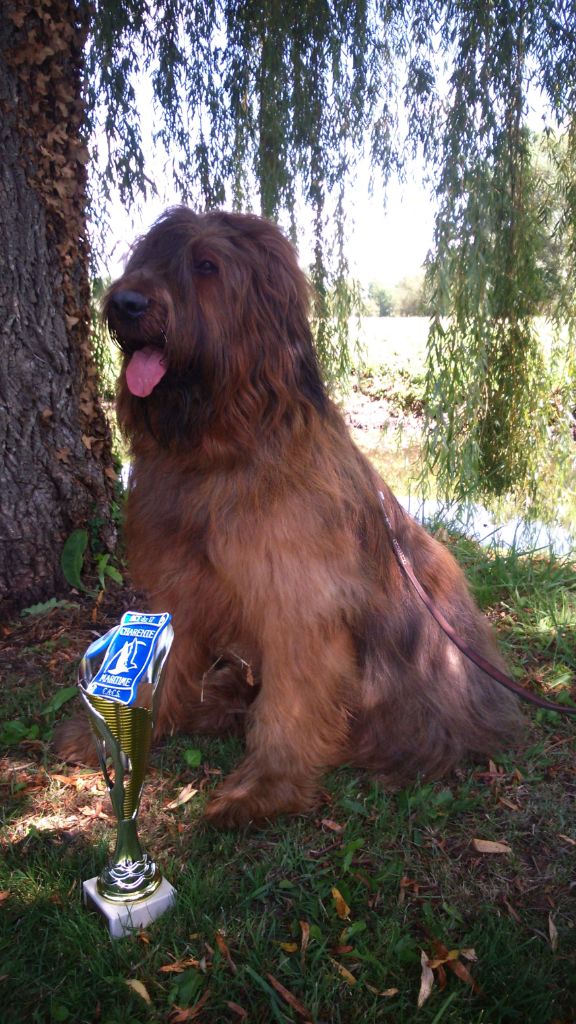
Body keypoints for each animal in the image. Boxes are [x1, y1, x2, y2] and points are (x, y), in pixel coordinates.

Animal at [54, 205, 520, 823]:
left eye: (206, 265)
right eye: (147, 256)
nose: (127, 302)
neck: (223, 450)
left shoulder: (299, 603)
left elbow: (294, 701)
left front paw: (262, 788)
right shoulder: (182, 588)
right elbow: (169, 664)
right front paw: (118, 736)